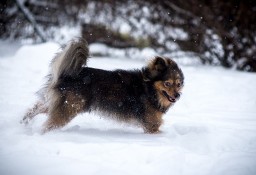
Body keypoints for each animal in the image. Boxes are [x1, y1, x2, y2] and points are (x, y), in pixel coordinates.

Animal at [21, 38, 183, 133]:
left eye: (179, 84)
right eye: (167, 83)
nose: (178, 95)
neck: (148, 88)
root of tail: (67, 75)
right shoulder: (152, 126)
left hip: (58, 103)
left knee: (36, 108)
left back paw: (23, 121)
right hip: (69, 108)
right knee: (48, 124)